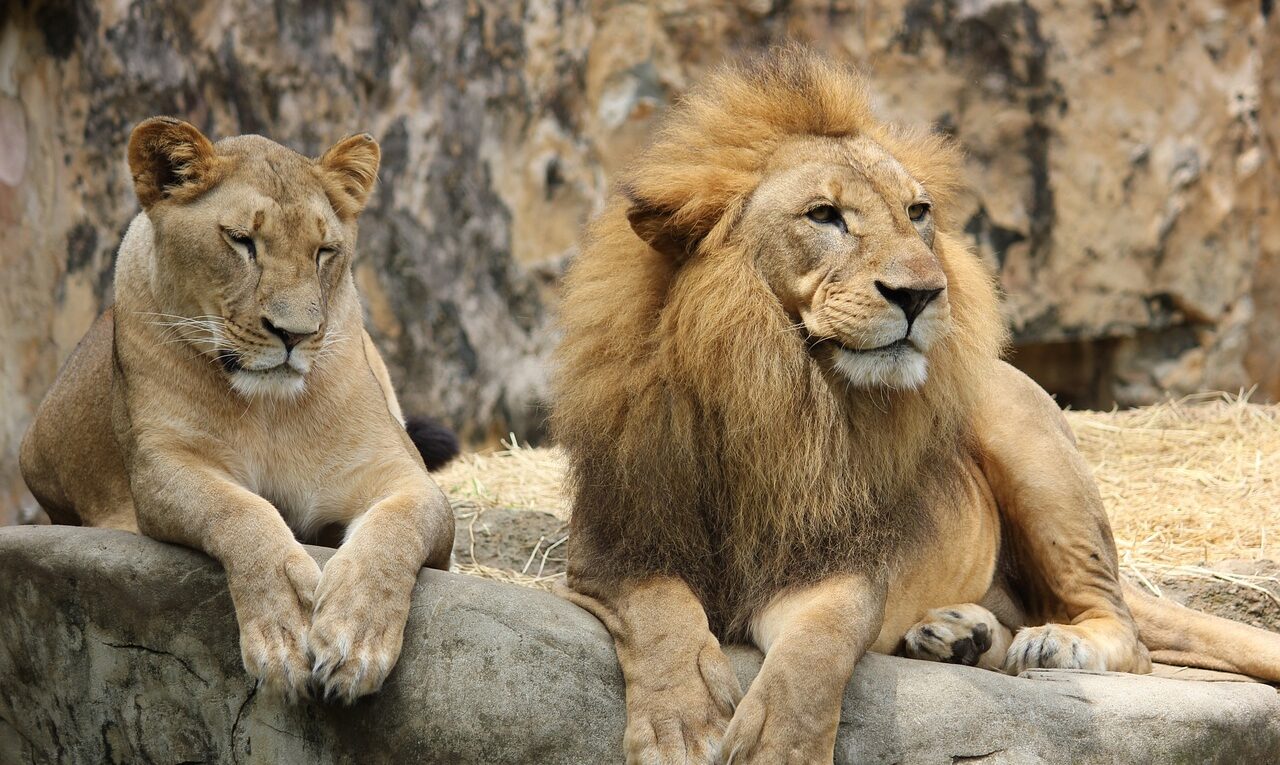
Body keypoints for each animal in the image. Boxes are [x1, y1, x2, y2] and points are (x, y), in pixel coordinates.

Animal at [20, 115, 455, 706]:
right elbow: (240, 510)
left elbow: (398, 527)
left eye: (325, 251)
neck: (269, 409)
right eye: (242, 241)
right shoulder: (161, 467)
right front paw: (286, 625)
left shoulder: (401, 473)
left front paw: (356, 635)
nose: (295, 334)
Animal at [555, 50, 1280, 762]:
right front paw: (679, 726)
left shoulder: (840, 566)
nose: (923, 294)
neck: (773, 392)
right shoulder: (615, 549)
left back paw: (1055, 642)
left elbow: (809, 662)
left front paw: (777, 749)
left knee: (1125, 632)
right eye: (824, 214)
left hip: (1030, 446)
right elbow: (662, 617)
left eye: (918, 212)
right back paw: (960, 633)